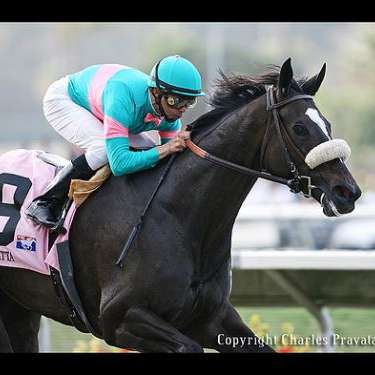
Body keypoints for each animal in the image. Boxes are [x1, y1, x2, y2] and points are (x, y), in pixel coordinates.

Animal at [0, 58, 362, 352]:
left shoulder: (212, 319)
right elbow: (188, 347)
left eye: (327, 124)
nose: (349, 192)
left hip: (20, 311)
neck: (179, 216)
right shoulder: (120, 318)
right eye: (300, 128)